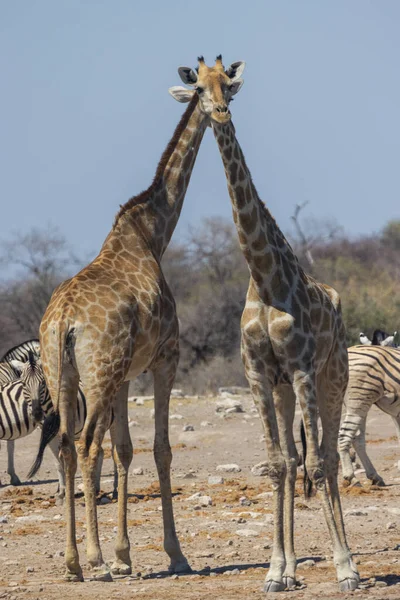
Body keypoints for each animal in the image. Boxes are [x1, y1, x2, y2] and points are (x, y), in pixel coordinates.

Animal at [0, 340, 115, 500]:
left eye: (43, 383)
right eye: (24, 384)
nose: (36, 414)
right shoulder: (49, 435)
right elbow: (58, 462)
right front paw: (62, 490)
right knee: (101, 451)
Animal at [38, 57, 244, 580]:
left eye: (227, 85)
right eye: (203, 87)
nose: (221, 111)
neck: (153, 234)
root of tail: (64, 321)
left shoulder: (126, 375)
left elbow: (126, 449)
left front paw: (125, 553)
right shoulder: (165, 358)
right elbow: (160, 448)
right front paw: (173, 553)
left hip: (65, 373)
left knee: (67, 445)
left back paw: (72, 562)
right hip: (98, 372)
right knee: (86, 445)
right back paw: (91, 558)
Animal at [172, 58, 360, 592]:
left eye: (229, 86)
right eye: (199, 87)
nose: (218, 112)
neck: (264, 276)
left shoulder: (300, 368)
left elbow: (317, 461)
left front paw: (344, 568)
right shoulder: (259, 374)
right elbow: (278, 464)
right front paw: (276, 571)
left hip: (332, 376)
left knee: (328, 455)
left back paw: (346, 564)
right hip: (281, 389)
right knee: (296, 459)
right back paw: (293, 568)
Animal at [338, 342, 400, 488]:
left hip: (359, 404)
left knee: (357, 439)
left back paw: (374, 476)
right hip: (360, 399)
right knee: (344, 436)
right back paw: (351, 478)